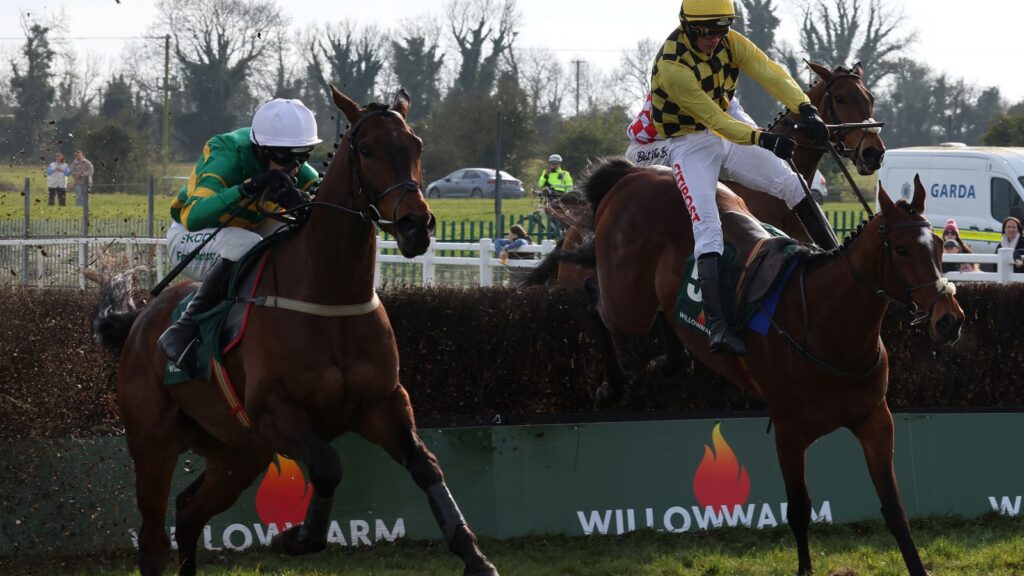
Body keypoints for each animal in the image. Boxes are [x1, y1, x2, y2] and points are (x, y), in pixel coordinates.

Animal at [92, 86, 499, 573]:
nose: (415, 224)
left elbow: (426, 466)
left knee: (189, 514)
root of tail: (139, 323)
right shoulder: (276, 413)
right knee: (154, 540)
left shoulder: (383, 403)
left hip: (239, 453)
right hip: (154, 445)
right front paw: (295, 538)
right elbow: (328, 467)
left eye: (416, 145)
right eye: (367, 149)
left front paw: (475, 555)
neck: (330, 298)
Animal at [589, 157, 962, 573]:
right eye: (901, 249)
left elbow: (895, 509)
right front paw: (805, 567)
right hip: (626, 301)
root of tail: (632, 174)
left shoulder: (875, 420)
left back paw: (668, 362)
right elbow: (799, 509)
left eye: (939, 246)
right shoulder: (788, 431)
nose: (949, 319)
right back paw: (613, 384)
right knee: (595, 299)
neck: (826, 322)